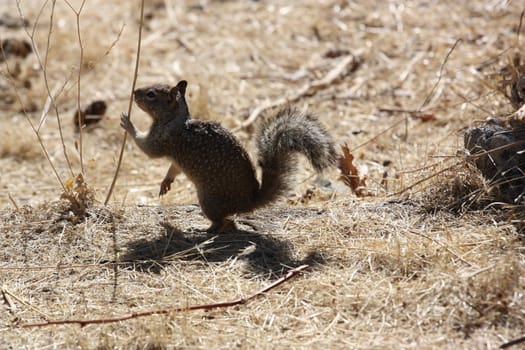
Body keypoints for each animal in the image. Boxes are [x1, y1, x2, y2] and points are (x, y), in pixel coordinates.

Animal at [119, 80, 336, 232]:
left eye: (151, 94)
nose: (134, 92)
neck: (174, 119)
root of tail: (247, 202)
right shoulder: (175, 158)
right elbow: (174, 168)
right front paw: (166, 183)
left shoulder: (162, 138)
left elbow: (148, 149)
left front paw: (128, 124)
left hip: (208, 200)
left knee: (220, 222)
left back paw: (202, 228)